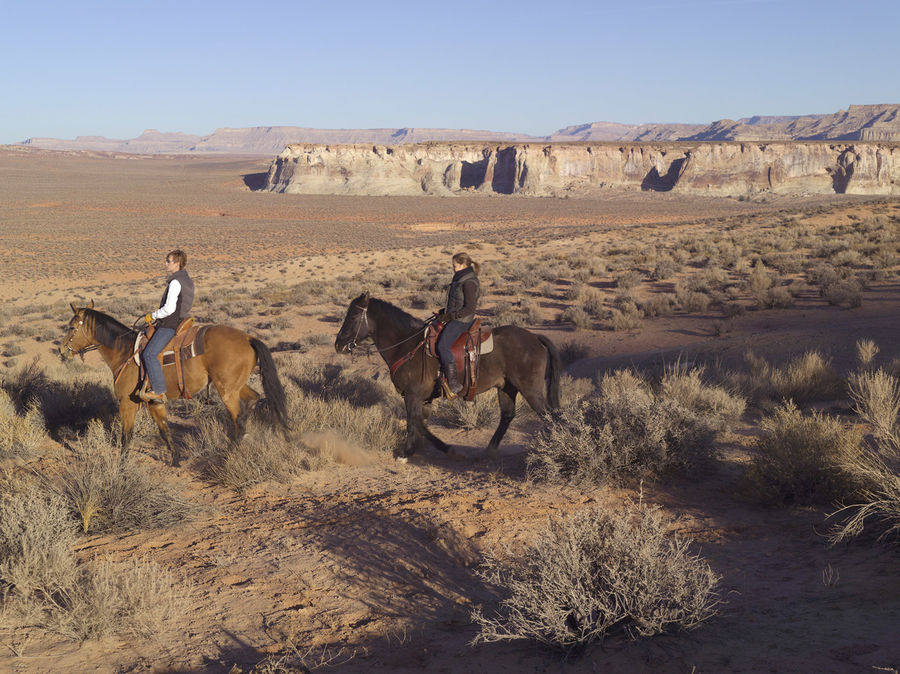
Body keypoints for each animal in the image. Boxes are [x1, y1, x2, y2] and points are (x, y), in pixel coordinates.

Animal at [62, 302, 288, 464]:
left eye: (71, 327)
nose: (62, 350)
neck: (124, 352)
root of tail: (248, 338)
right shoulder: (155, 403)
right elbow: (164, 430)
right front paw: (175, 460)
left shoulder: (127, 403)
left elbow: (127, 436)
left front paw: (121, 465)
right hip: (235, 386)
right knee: (253, 400)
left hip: (227, 391)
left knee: (239, 417)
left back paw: (229, 453)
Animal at [334, 292, 560, 460]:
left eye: (353, 317)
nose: (338, 345)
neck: (406, 345)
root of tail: (535, 337)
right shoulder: (423, 399)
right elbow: (420, 423)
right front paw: (418, 449)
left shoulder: (412, 396)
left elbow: (414, 422)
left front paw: (410, 453)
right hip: (507, 388)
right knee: (508, 415)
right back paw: (490, 449)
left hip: (530, 389)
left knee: (549, 415)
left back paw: (553, 447)